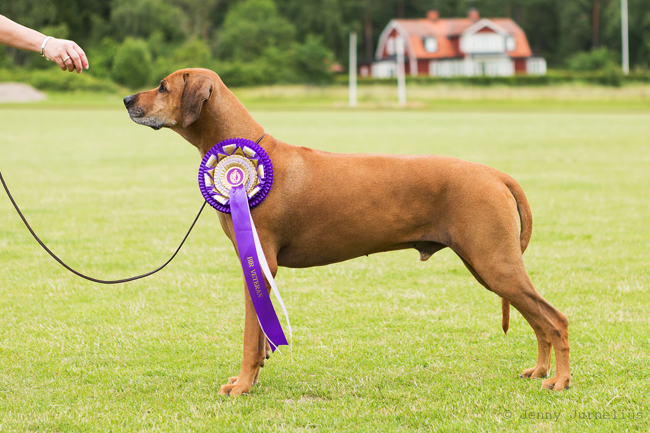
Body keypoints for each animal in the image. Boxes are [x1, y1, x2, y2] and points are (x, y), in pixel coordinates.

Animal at [121, 67, 568, 394]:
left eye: (162, 87)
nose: (127, 100)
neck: (244, 149)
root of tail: (495, 174)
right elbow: (261, 338)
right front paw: (251, 378)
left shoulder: (261, 262)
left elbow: (251, 337)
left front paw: (242, 386)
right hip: (491, 265)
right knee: (538, 320)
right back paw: (541, 370)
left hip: (494, 262)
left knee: (555, 319)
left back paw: (560, 379)